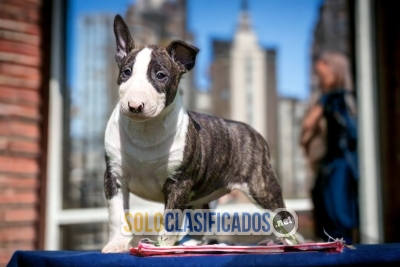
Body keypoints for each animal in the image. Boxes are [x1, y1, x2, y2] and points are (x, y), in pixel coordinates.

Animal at [102, 14, 290, 253]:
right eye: (126, 72)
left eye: (161, 75)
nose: (134, 105)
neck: (145, 130)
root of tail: (253, 132)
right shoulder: (114, 177)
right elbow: (116, 215)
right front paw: (116, 245)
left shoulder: (179, 183)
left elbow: (170, 219)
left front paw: (162, 247)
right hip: (201, 197)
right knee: (202, 219)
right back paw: (191, 242)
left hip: (262, 186)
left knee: (281, 214)